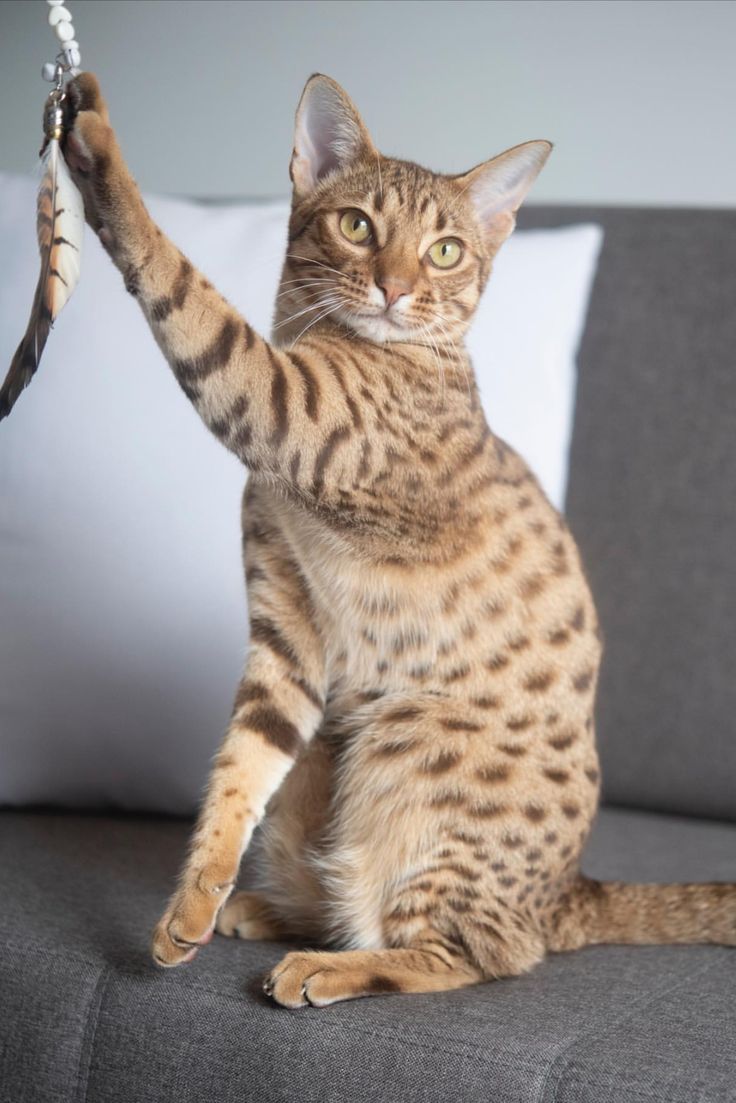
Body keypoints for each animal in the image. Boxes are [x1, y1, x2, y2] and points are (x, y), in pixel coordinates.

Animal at [64, 71, 736, 1010]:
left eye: (446, 251)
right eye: (357, 227)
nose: (394, 287)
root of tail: (569, 893)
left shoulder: (279, 405)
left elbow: (186, 294)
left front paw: (101, 151)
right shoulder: (288, 633)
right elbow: (240, 768)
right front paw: (193, 901)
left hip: (402, 743)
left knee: (478, 952)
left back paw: (325, 963)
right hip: (331, 753)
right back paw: (267, 909)